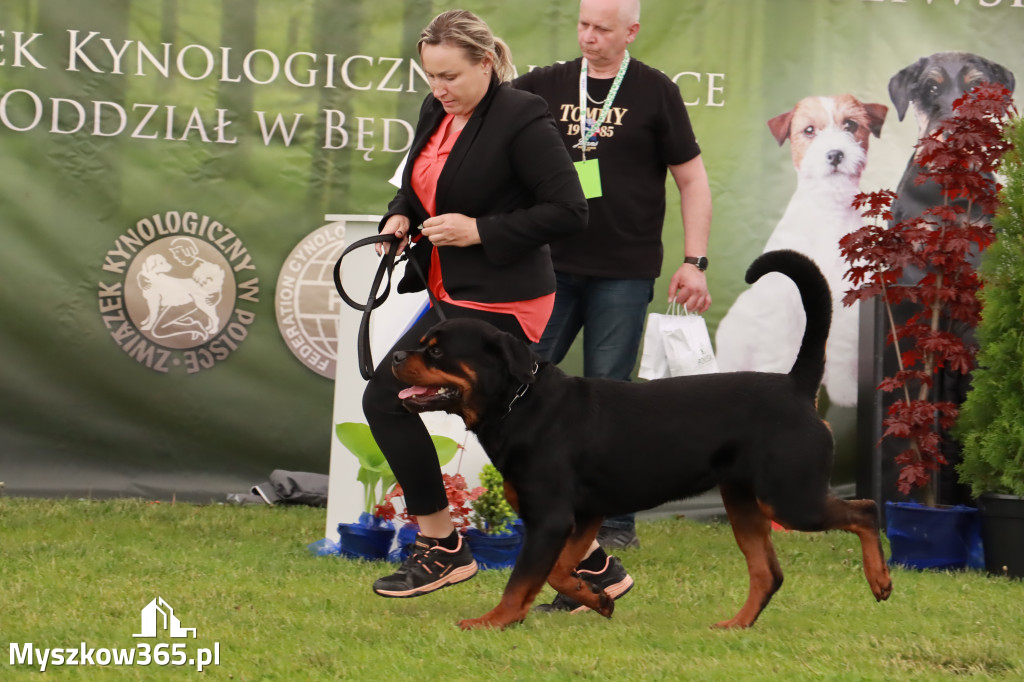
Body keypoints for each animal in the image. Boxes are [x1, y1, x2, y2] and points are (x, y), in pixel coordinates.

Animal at [395, 248, 892, 626]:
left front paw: (493, 621)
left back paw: (880, 580)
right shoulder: (583, 514)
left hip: (789, 498)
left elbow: (523, 580)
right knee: (768, 572)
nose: (398, 355)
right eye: (423, 344)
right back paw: (735, 624)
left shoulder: (551, 517)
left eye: (436, 350)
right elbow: (560, 570)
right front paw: (595, 598)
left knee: (866, 511)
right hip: (744, 501)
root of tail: (795, 386)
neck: (521, 402)